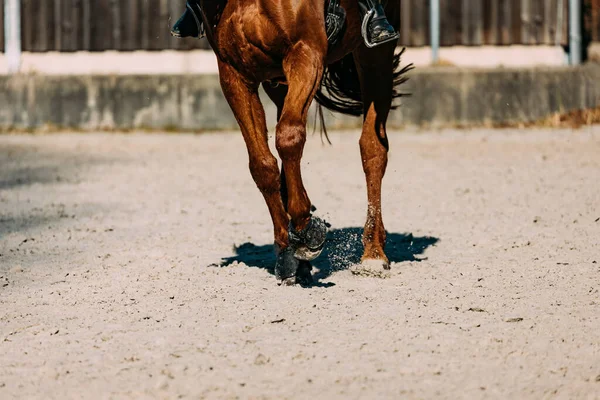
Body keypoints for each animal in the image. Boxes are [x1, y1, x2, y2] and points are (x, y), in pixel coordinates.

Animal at [195, 0, 410, 286]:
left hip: (375, 55)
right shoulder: (235, 74)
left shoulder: (305, 53)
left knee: (373, 148)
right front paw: (288, 251)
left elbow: (288, 137)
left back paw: (373, 254)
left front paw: (306, 229)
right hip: (278, 83)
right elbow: (262, 165)